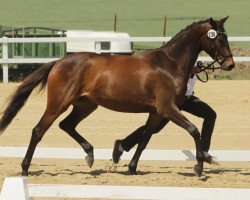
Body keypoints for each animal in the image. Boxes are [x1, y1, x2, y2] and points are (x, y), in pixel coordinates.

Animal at [0, 16, 234, 177]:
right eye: (219, 37)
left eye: (226, 36)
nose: (230, 64)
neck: (169, 63)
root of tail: (58, 61)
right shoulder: (167, 108)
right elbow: (193, 130)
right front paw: (198, 166)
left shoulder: (157, 112)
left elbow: (145, 138)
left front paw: (131, 167)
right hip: (58, 103)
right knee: (39, 130)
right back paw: (25, 169)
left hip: (86, 105)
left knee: (66, 125)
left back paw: (90, 155)